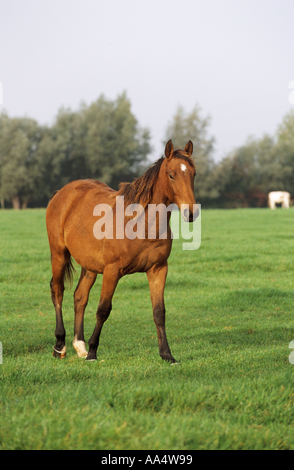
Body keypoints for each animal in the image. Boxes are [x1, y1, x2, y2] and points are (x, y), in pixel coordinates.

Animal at [46, 140, 198, 364]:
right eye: (172, 175)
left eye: (193, 174)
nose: (191, 212)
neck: (140, 223)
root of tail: (63, 192)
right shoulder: (112, 270)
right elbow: (103, 309)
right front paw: (93, 352)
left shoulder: (158, 269)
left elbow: (159, 312)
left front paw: (167, 354)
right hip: (59, 254)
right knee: (58, 291)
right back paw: (60, 346)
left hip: (89, 265)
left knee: (80, 296)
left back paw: (79, 345)